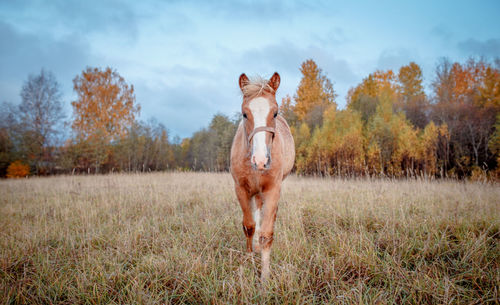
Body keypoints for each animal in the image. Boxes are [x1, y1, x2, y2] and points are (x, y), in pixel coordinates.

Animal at [231, 72, 296, 280]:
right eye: (244, 113)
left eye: (275, 112)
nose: (261, 160)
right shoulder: (241, 189)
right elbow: (249, 226)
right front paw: (250, 260)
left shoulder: (272, 189)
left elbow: (267, 234)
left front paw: (265, 277)